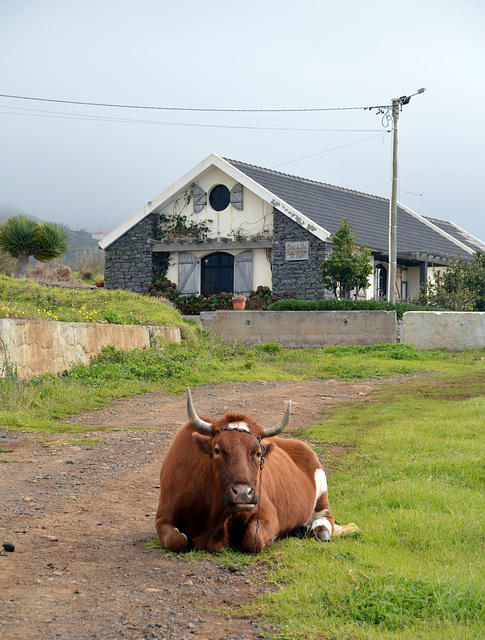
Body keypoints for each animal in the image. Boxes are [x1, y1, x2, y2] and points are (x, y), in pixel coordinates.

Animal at [155, 388, 332, 552]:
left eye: (258, 453)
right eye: (217, 450)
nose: (242, 493)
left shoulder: (266, 514)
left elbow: (253, 539)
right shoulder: (162, 517)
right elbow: (177, 540)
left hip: (322, 488)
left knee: (324, 516)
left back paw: (318, 530)